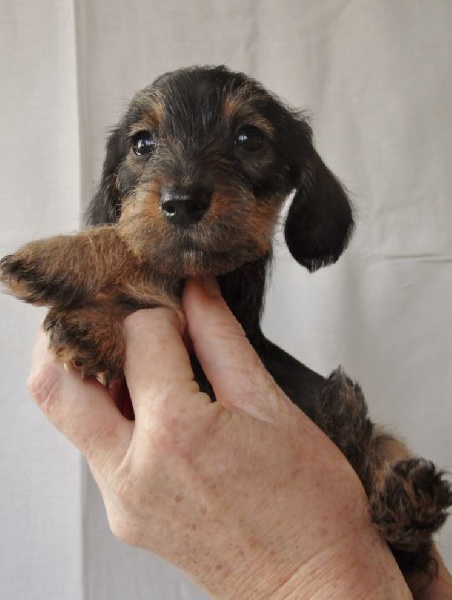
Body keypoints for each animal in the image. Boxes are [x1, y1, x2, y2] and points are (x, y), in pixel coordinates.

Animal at [1, 65, 450, 594]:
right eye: (142, 144)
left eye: (249, 138)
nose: (182, 202)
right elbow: (142, 247)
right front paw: (86, 306)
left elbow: (137, 252)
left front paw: (53, 261)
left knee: (385, 459)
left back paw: (408, 492)